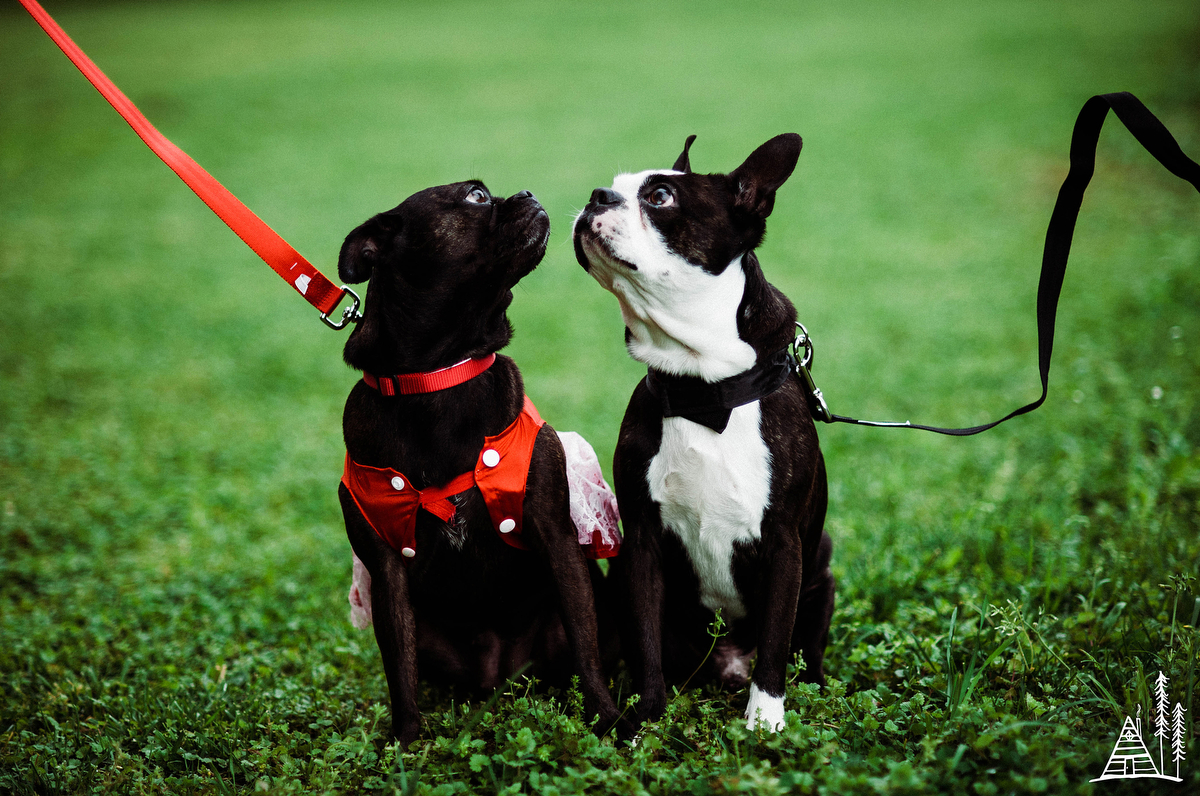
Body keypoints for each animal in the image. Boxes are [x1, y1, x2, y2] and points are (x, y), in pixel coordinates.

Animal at [336, 182, 619, 749]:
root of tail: (496, 676)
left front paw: (607, 720)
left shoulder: (556, 538)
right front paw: (405, 743)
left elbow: (587, 649)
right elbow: (398, 670)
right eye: (476, 196)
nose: (525, 191)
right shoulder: (386, 571)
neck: (437, 380)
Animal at [571, 133, 835, 729]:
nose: (596, 195)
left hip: (821, 570)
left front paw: (765, 721)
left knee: (802, 646)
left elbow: (777, 639)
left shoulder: (784, 545)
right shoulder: (642, 544)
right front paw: (648, 717)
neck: (703, 387)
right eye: (613, 186)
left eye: (660, 197)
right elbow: (646, 641)